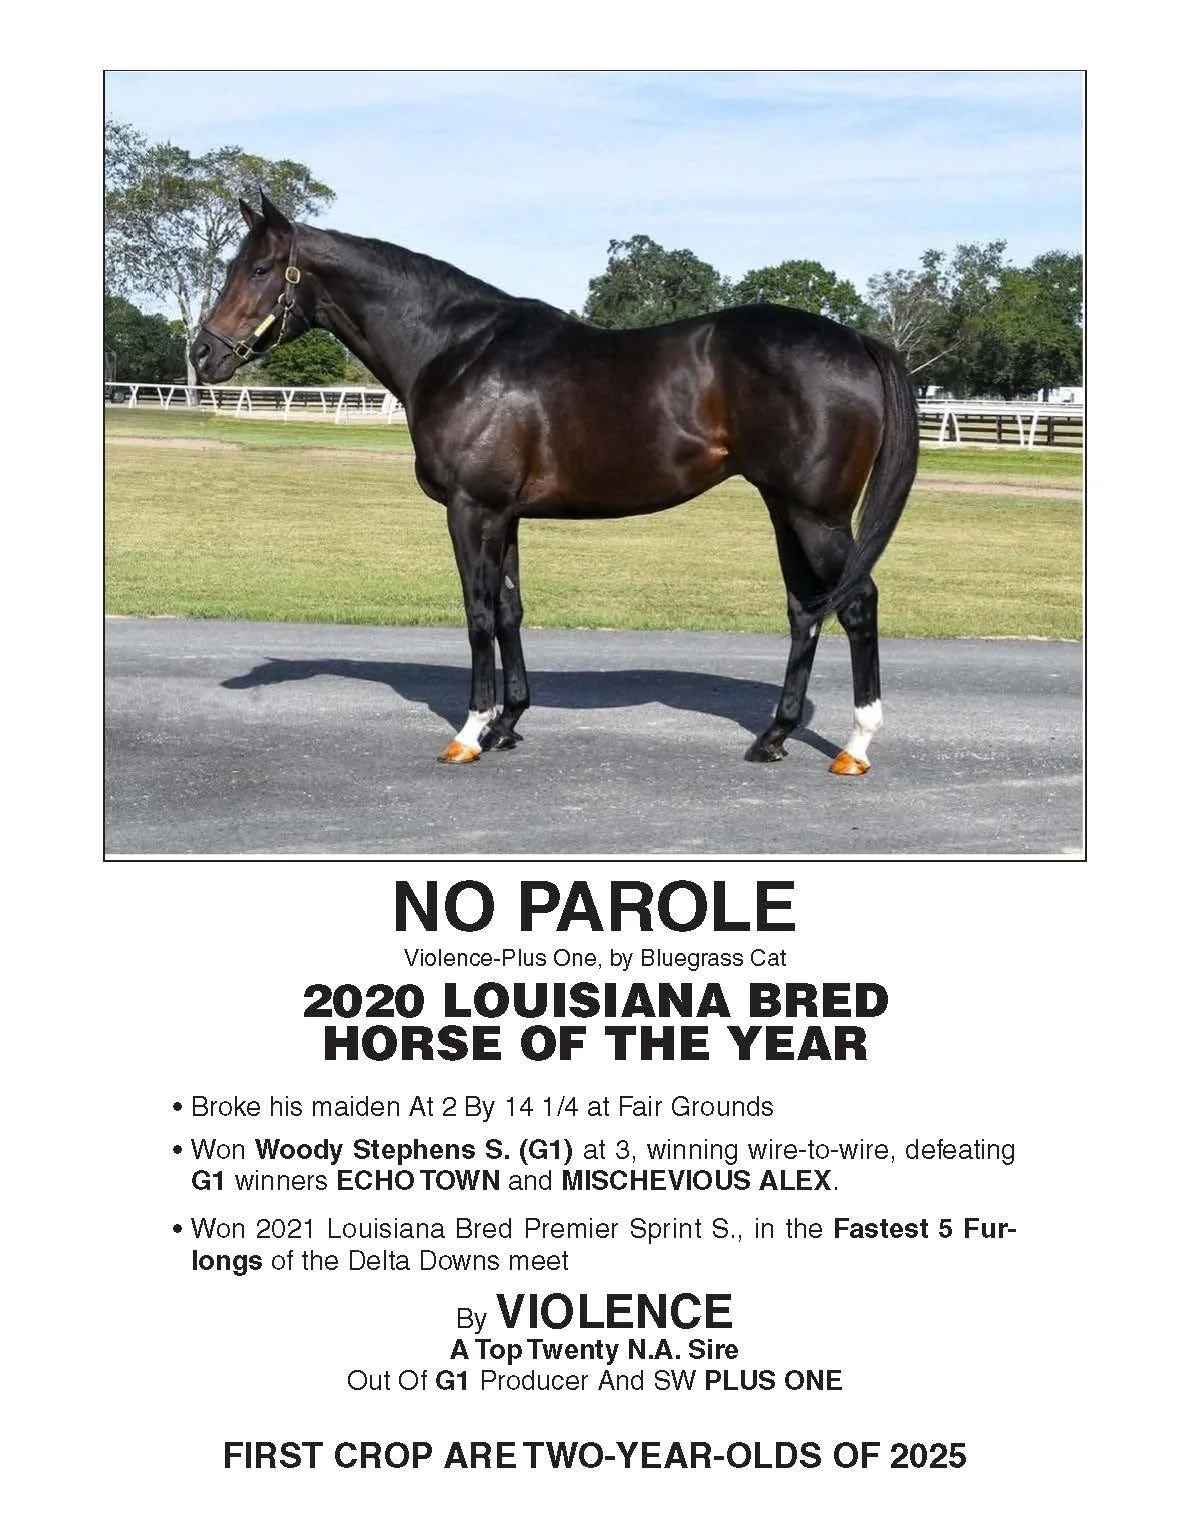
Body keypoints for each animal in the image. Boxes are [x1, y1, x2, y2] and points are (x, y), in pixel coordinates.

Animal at [192, 192, 919, 774]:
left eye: (259, 269)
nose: (202, 355)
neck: (455, 351)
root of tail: (858, 340)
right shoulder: (505, 515)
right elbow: (510, 611)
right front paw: (508, 723)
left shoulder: (471, 510)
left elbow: (479, 615)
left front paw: (470, 733)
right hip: (784, 507)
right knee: (805, 609)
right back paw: (774, 736)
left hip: (817, 515)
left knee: (857, 604)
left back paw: (854, 747)